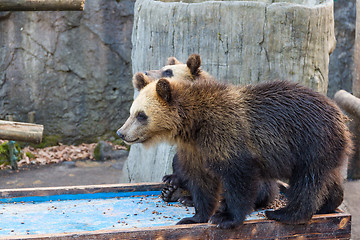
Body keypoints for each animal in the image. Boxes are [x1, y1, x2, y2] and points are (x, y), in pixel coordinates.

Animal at [117, 67, 352, 229]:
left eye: (141, 115)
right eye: (131, 112)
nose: (122, 133)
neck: (194, 123)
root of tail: (341, 117)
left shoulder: (227, 133)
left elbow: (239, 176)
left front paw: (226, 219)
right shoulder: (196, 148)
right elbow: (201, 180)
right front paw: (193, 217)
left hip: (311, 140)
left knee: (307, 180)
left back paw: (285, 214)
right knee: (326, 177)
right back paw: (328, 204)